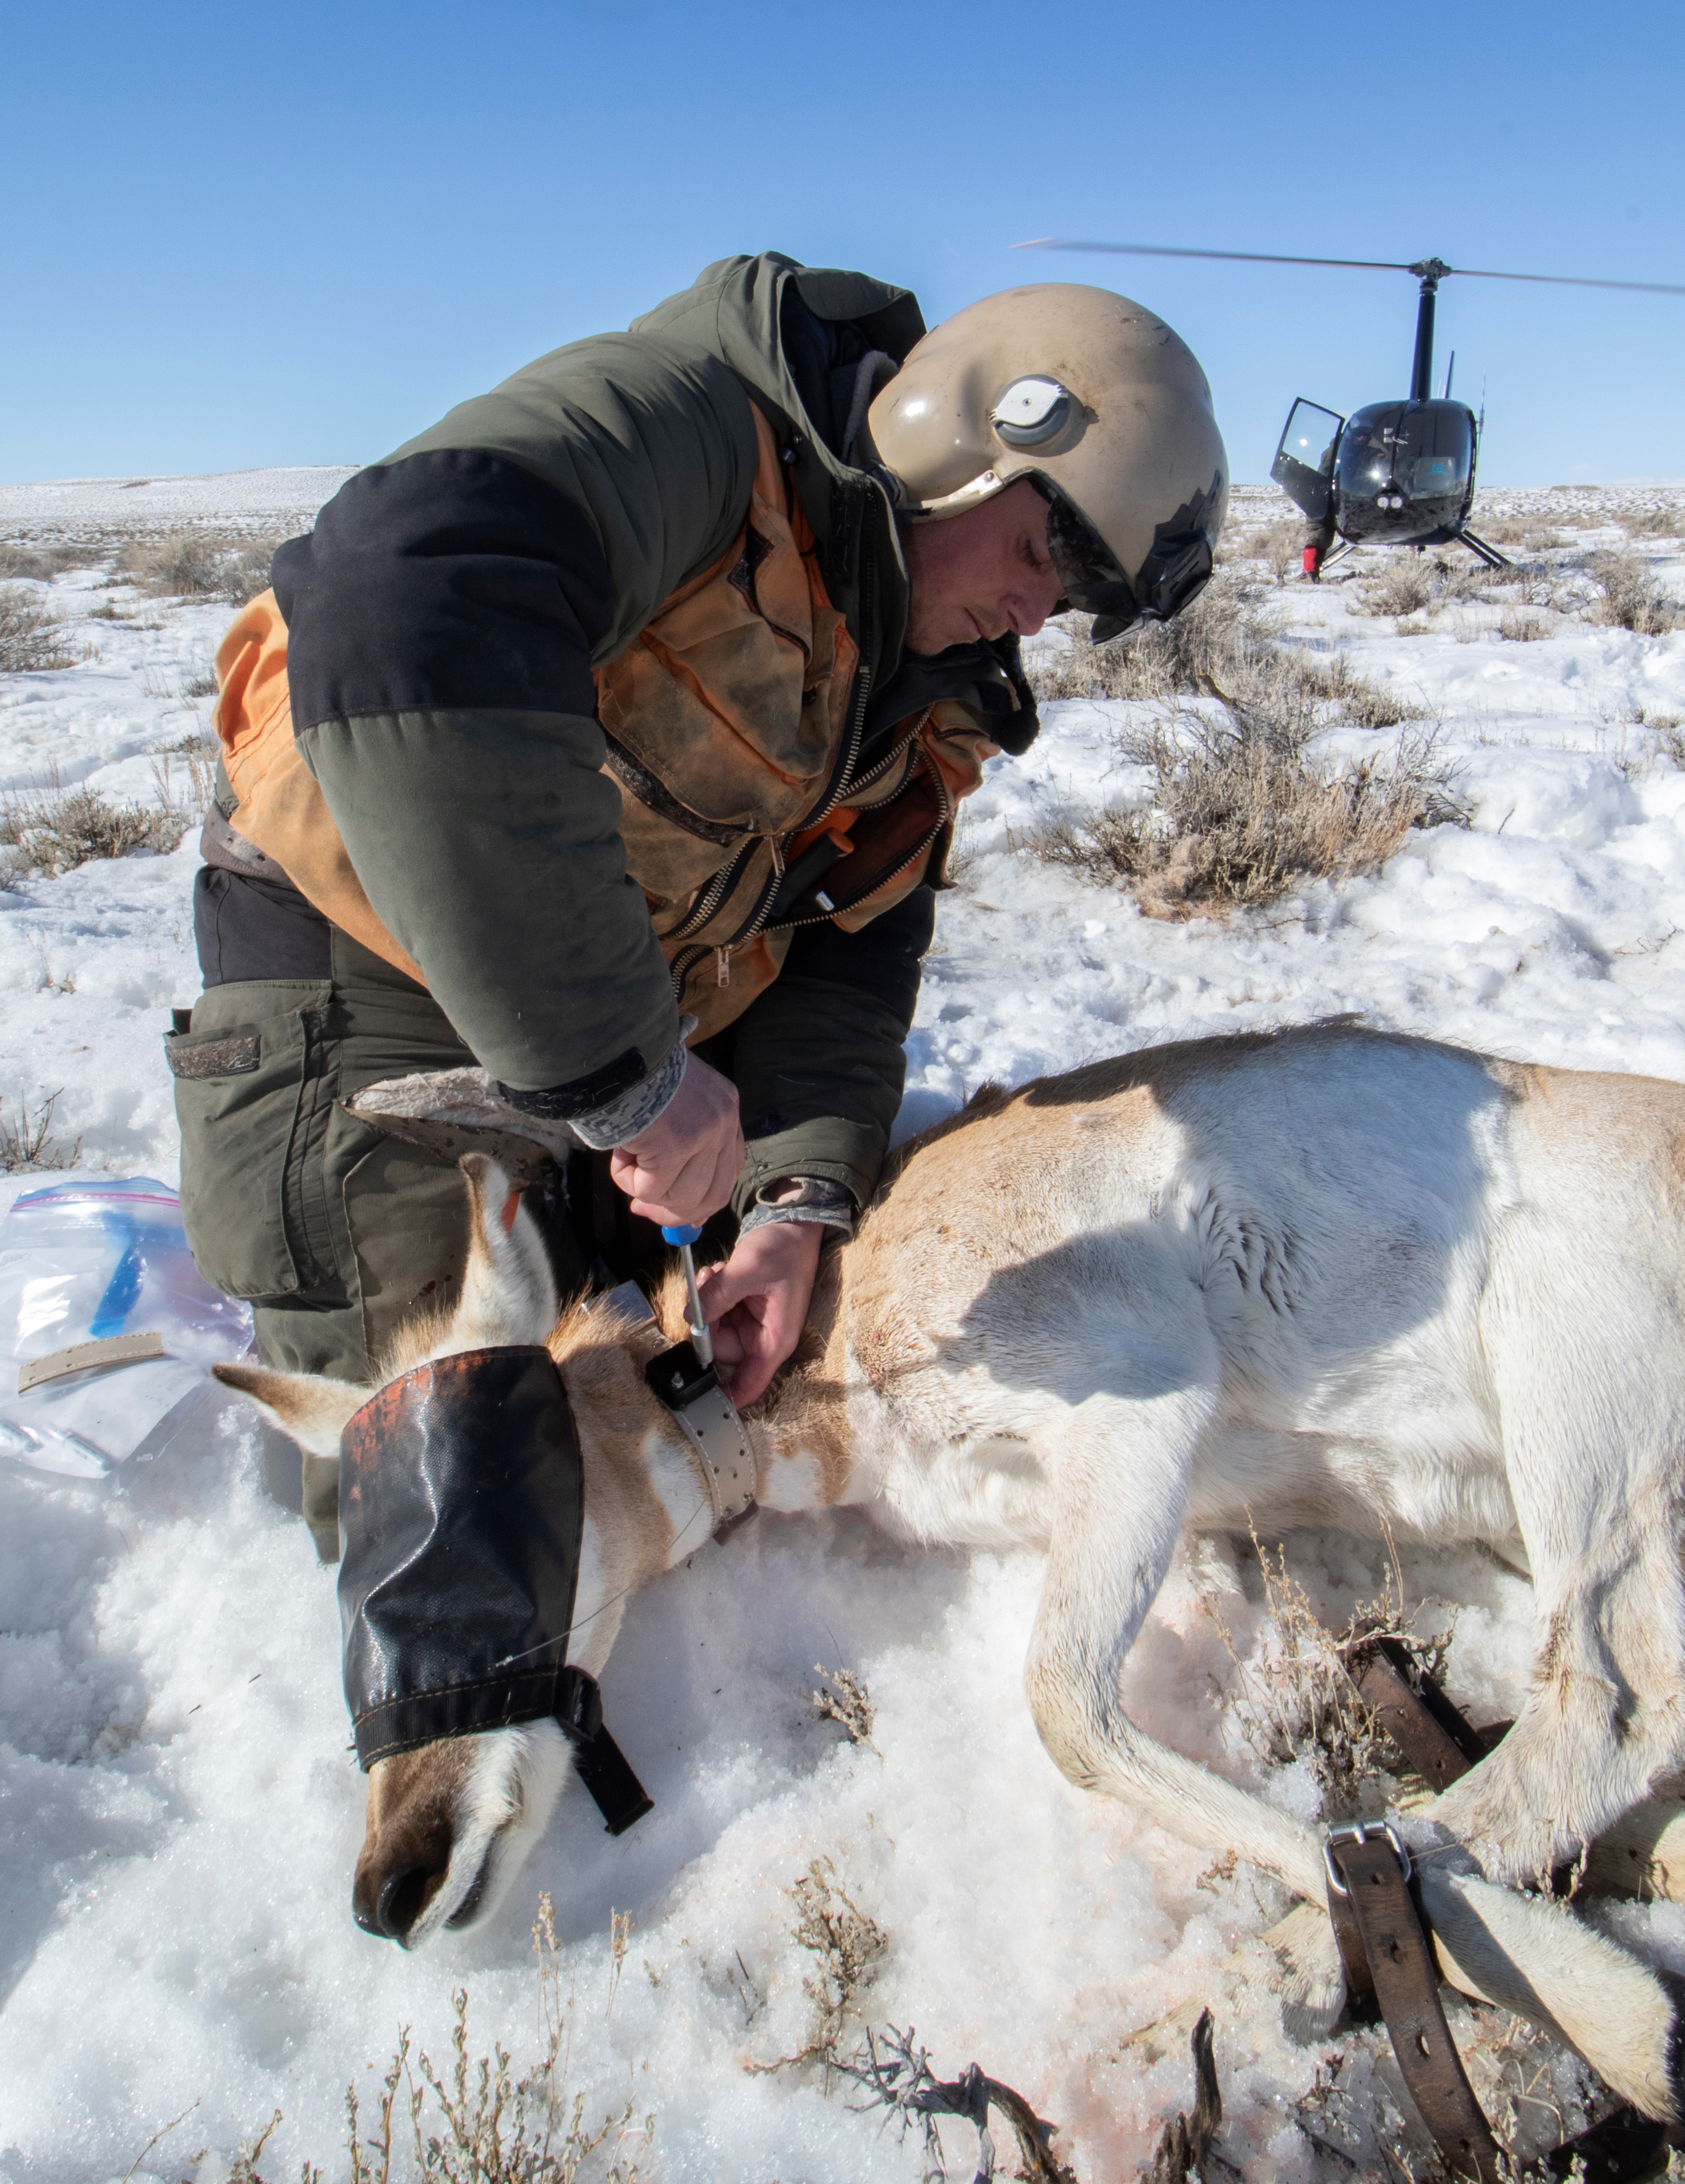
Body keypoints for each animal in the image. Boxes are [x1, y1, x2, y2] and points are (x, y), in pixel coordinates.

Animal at [217, 1031, 1685, 2123]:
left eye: (486, 1523)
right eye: (345, 1566)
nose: (387, 1885)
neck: (827, 1339)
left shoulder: (1137, 1416)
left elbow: (1066, 1713)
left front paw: (1608, 2008)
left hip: (1572, 1379)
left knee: (1606, 1694)